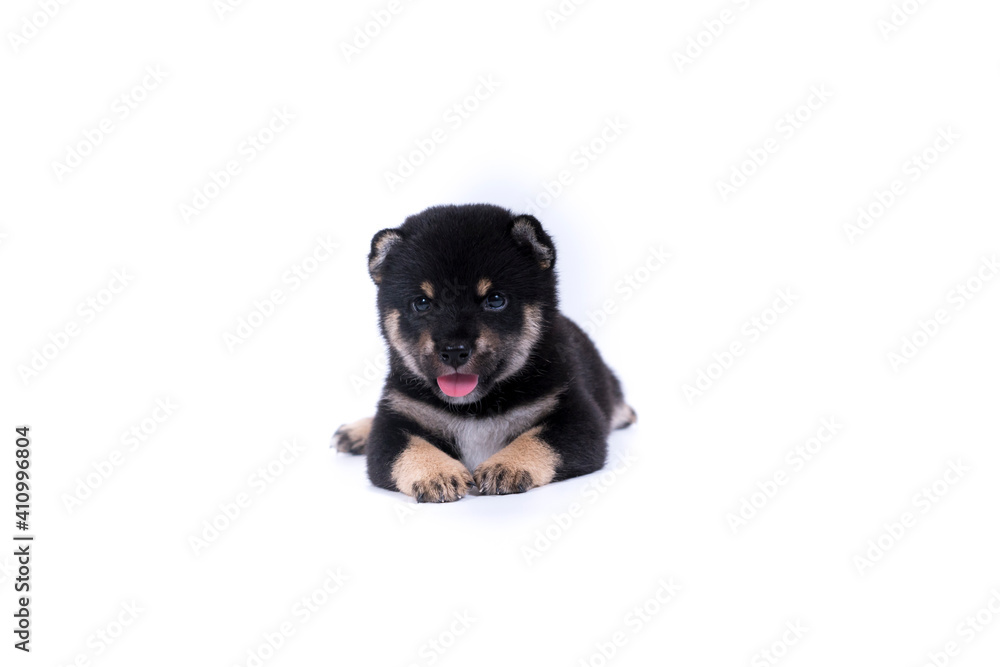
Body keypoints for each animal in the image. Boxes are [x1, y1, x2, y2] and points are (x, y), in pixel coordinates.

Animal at [334, 204, 632, 500]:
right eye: (422, 303)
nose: (454, 351)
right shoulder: (394, 418)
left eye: (496, 300)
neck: (474, 409)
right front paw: (437, 473)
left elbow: (537, 440)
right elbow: (410, 449)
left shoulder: (576, 416)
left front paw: (506, 465)